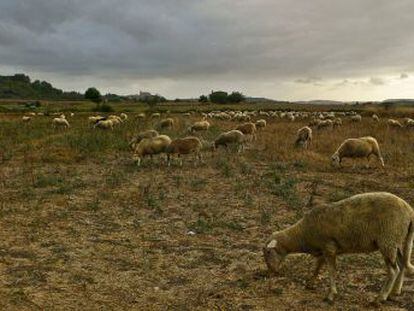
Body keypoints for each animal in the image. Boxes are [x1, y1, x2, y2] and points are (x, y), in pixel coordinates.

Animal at [264, 193, 414, 304]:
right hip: (397, 241)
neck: (303, 233)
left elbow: (332, 271)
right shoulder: (323, 249)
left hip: (387, 240)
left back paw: (380, 298)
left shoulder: (329, 247)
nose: (271, 271)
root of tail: (409, 211)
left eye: (268, 252)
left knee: (394, 270)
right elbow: (318, 266)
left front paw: (331, 295)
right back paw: (395, 292)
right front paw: (310, 283)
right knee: (402, 264)